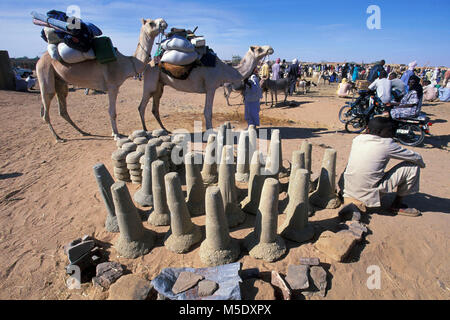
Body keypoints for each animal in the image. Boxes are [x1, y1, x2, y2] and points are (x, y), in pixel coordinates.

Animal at [36, 17, 167, 141]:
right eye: (151, 23)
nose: (164, 23)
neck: (124, 64)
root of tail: (39, 60)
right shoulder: (113, 86)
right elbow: (112, 112)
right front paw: (116, 135)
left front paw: (114, 133)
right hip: (44, 72)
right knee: (46, 107)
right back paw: (58, 138)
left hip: (60, 81)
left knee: (62, 109)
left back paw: (83, 132)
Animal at [136, 44, 274, 131]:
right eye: (259, 49)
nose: (270, 49)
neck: (224, 70)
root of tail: (148, 64)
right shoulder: (211, 87)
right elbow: (208, 112)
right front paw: (210, 131)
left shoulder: (210, 88)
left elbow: (207, 111)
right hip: (150, 81)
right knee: (142, 106)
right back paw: (146, 130)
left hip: (160, 85)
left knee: (155, 107)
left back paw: (165, 129)